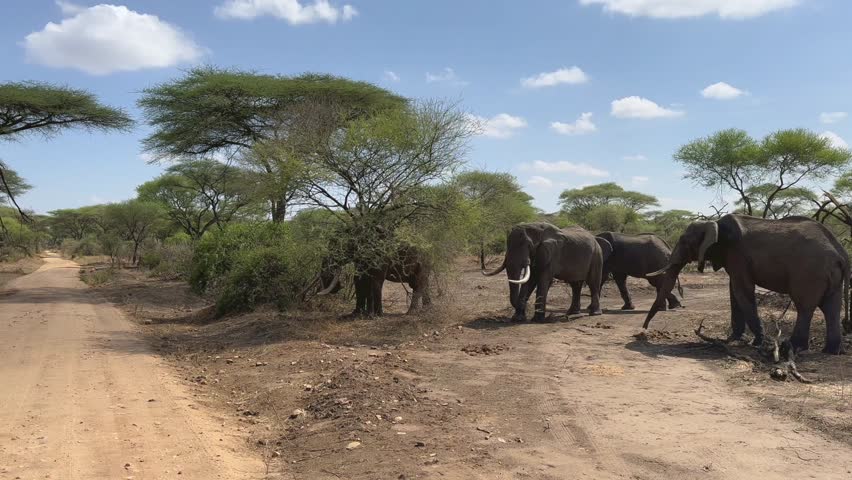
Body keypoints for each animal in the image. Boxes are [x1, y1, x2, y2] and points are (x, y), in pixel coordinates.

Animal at [482, 222, 611, 322]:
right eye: (507, 244)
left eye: (529, 245)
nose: (525, 306)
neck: (536, 229)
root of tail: (595, 238)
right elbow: (530, 281)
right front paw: (518, 318)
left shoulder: (551, 254)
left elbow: (543, 281)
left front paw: (537, 319)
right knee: (575, 285)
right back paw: (572, 313)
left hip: (596, 256)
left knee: (593, 283)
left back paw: (594, 313)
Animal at [644, 214, 849, 354]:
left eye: (685, 241)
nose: (643, 331)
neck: (714, 223)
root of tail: (841, 252)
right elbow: (734, 292)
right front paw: (735, 339)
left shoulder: (738, 254)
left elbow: (742, 290)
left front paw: (757, 342)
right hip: (830, 274)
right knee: (831, 306)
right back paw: (831, 351)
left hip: (809, 272)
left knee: (805, 306)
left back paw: (792, 347)